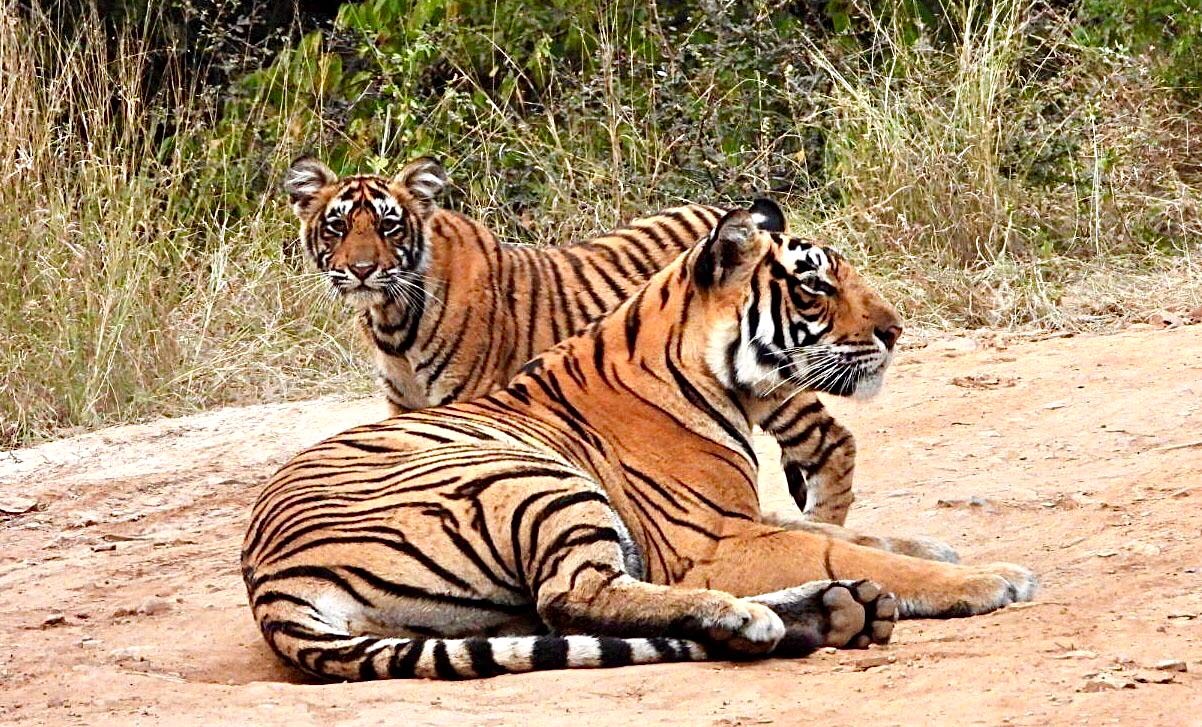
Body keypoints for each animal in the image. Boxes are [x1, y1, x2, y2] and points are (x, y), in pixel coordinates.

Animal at [243, 208, 1037, 681]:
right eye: (814, 287)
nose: (896, 331)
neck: (719, 380)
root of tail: (271, 584)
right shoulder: (707, 541)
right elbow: (844, 547)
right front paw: (989, 578)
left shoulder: (742, 515)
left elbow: (848, 533)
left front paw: (935, 549)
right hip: (529, 480)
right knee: (573, 596)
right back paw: (758, 615)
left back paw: (840, 612)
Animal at [285, 156, 867, 528]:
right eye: (337, 227)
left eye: (388, 226)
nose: (362, 269)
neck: (391, 319)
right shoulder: (405, 408)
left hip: (776, 382)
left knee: (833, 443)